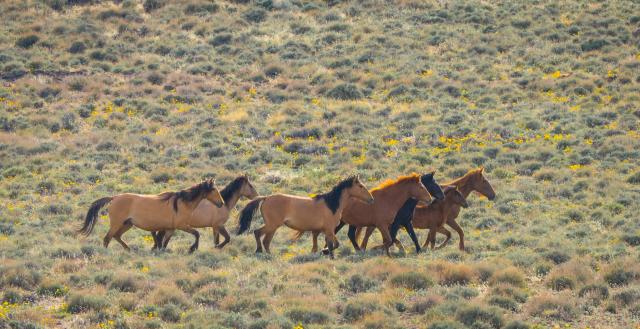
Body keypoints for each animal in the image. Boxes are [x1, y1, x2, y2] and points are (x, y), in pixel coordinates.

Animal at [78, 178, 225, 252]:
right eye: (214, 189)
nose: (221, 203)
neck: (182, 203)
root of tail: (114, 198)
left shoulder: (170, 229)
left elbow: (164, 243)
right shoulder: (182, 226)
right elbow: (197, 234)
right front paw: (192, 248)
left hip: (127, 224)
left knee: (116, 236)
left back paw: (128, 249)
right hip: (117, 223)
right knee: (107, 238)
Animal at [238, 176, 372, 258]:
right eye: (360, 186)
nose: (371, 199)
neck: (331, 205)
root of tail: (266, 198)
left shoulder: (321, 231)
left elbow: (322, 245)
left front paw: (326, 254)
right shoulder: (329, 230)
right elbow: (334, 244)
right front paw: (328, 254)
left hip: (273, 227)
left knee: (266, 241)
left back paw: (268, 254)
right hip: (272, 225)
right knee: (258, 233)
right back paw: (260, 252)